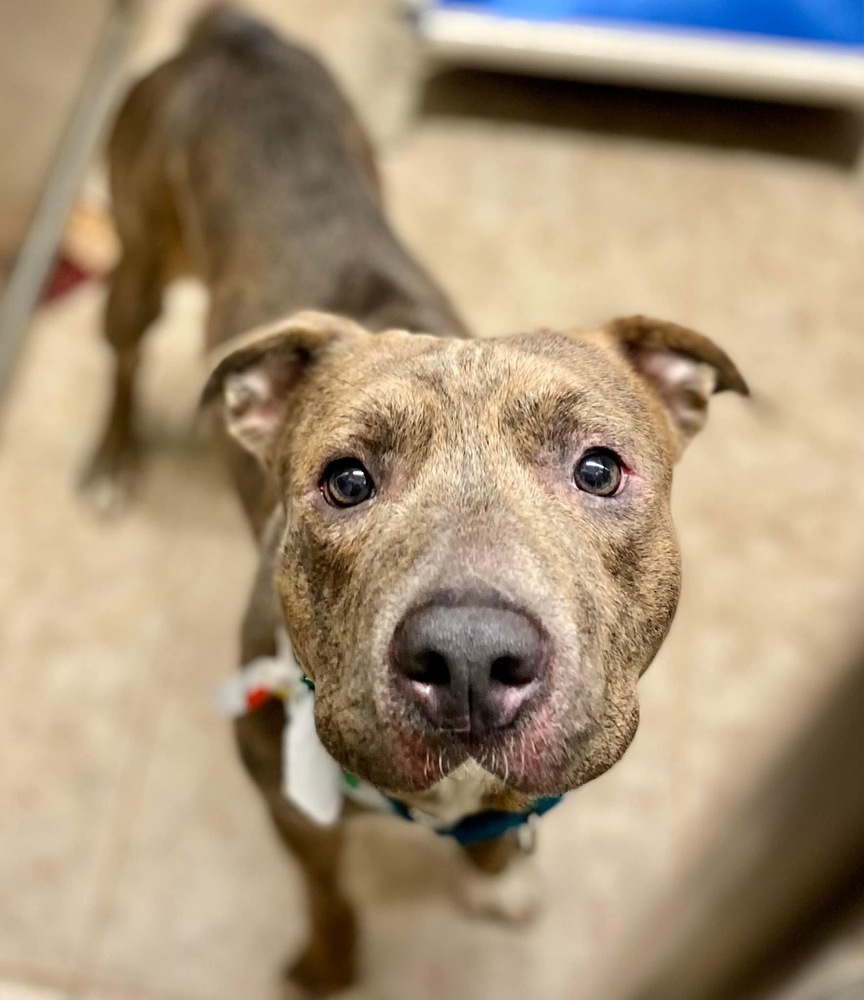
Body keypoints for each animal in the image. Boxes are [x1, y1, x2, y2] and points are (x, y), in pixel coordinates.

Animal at [86, 5, 748, 992]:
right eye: (347, 480)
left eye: (598, 470)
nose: (471, 657)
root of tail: (235, 37)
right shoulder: (288, 807)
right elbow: (328, 894)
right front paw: (329, 966)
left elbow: (498, 827)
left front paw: (496, 879)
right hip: (136, 260)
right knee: (124, 353)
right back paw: (110, 460)